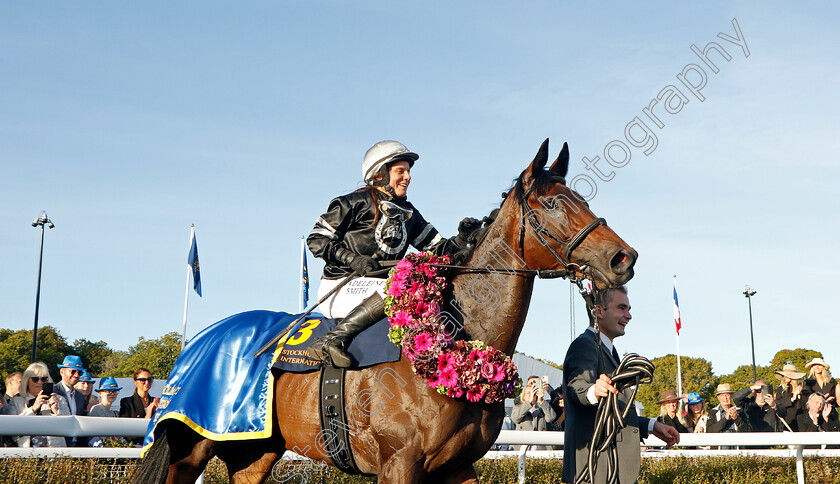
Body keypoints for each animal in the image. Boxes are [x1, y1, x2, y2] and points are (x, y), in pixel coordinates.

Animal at [135, 139, 636, 484]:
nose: (622, 258)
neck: (455, 337)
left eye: (584, 202)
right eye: (550, 203)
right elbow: (324, 235)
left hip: (254, 451)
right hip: (192, 445)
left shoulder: (456, 466)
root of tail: (197, 343)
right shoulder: (399, 464)